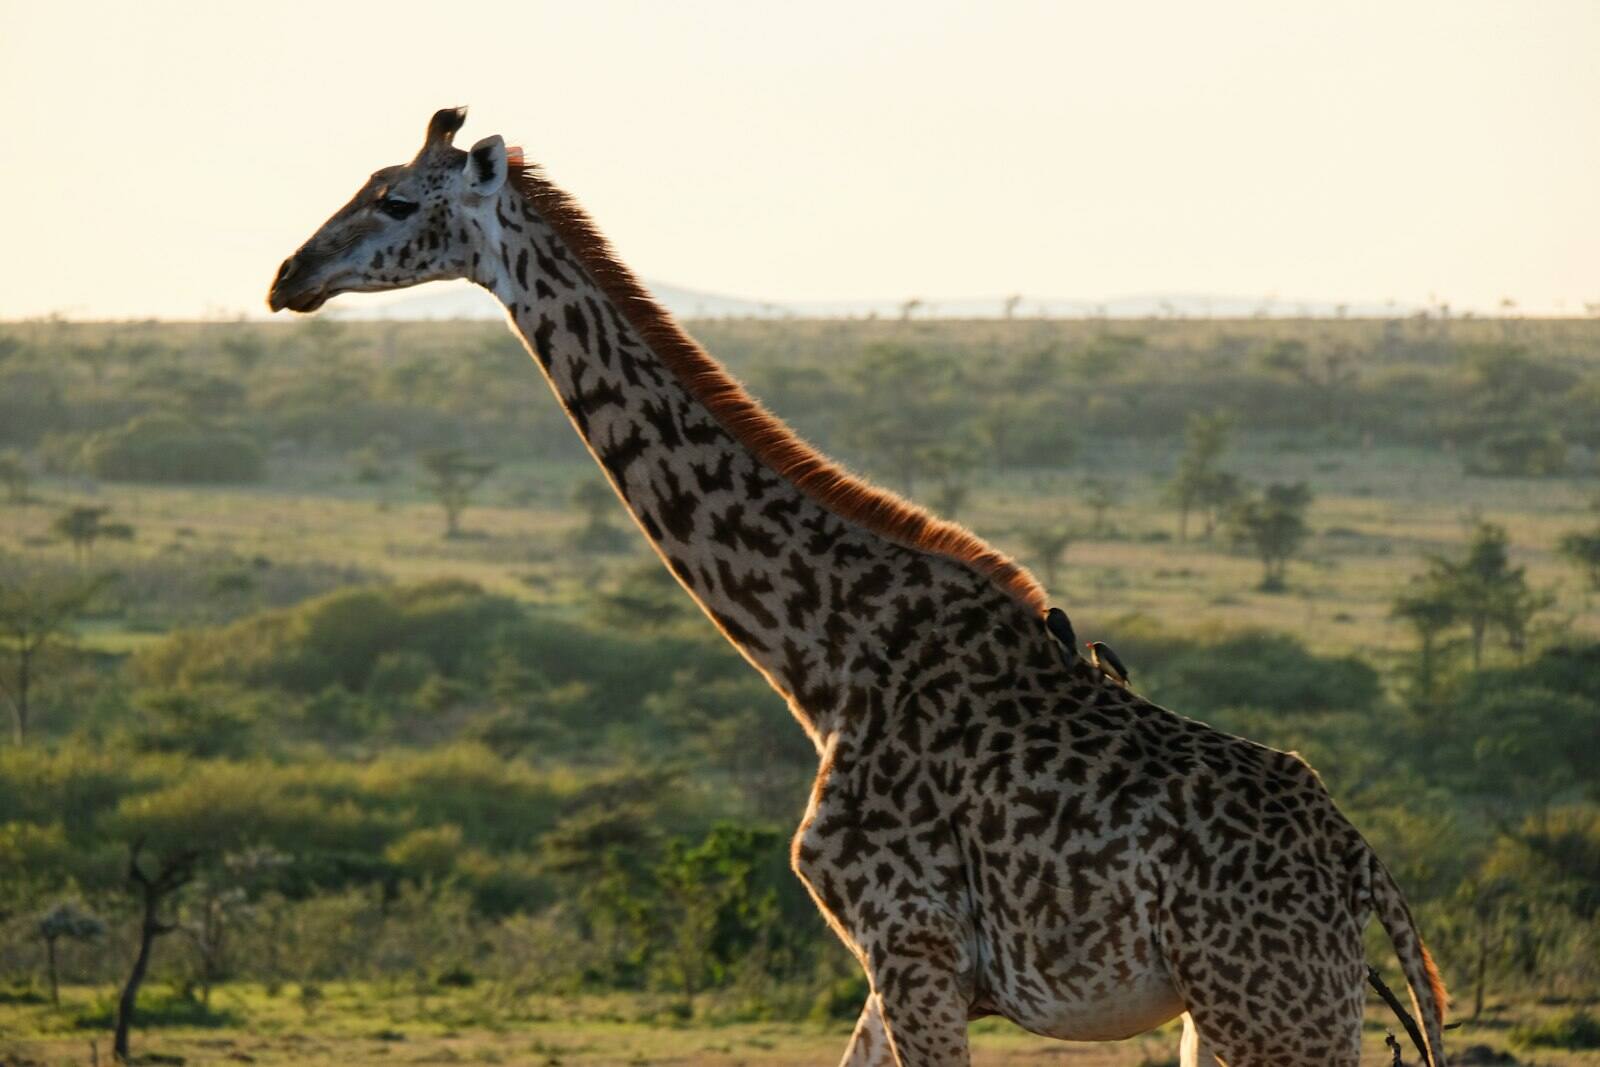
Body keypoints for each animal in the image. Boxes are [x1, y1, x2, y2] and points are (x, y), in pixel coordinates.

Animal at [268, 108, 1449, 1067]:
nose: (288, 276)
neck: (825, 653)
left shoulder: (912, 944)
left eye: (397, 198)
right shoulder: (889, 967)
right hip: (1243, 1013)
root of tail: (1361, 866)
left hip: (1272, 1006)